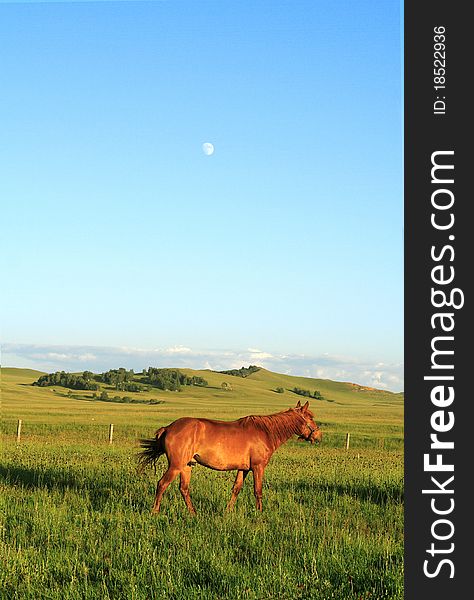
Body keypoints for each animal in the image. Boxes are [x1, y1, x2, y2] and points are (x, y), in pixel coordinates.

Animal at [137, 400, 322, 512]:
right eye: (311, 418)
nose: (319, 436)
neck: (265, 432)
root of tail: (169, 428)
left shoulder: (244, 469)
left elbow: (236, 489)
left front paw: (228, 512)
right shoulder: (258, 467)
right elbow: (258, 491)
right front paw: (260, 513)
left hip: (186, 466)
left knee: (183, 489)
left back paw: (193, 513)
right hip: (175, 466)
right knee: (162, 484)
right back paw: (155, 511)